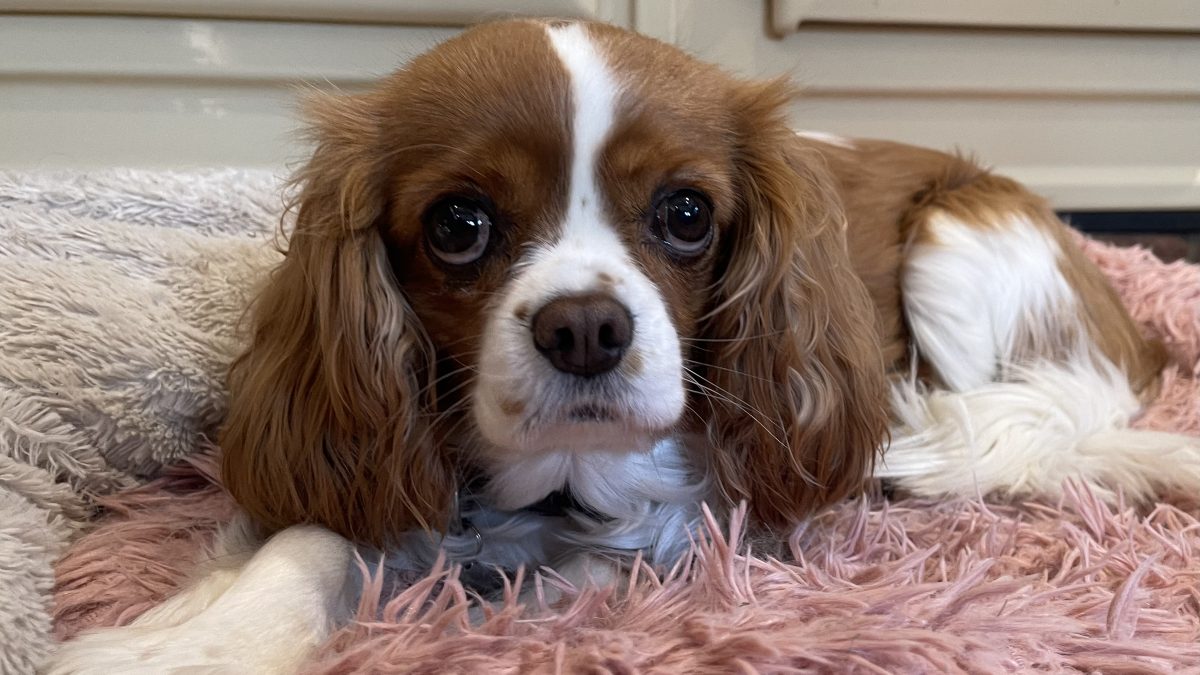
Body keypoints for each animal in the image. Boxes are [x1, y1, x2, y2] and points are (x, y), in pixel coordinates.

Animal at [44, 17, 1190, 672]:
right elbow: (309, 543)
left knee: (1045, 414)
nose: (585, 329)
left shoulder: (699, 520)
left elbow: (581, 571)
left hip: (963, 240)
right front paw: (192, 635)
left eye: (686, 214)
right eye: (458, 224)